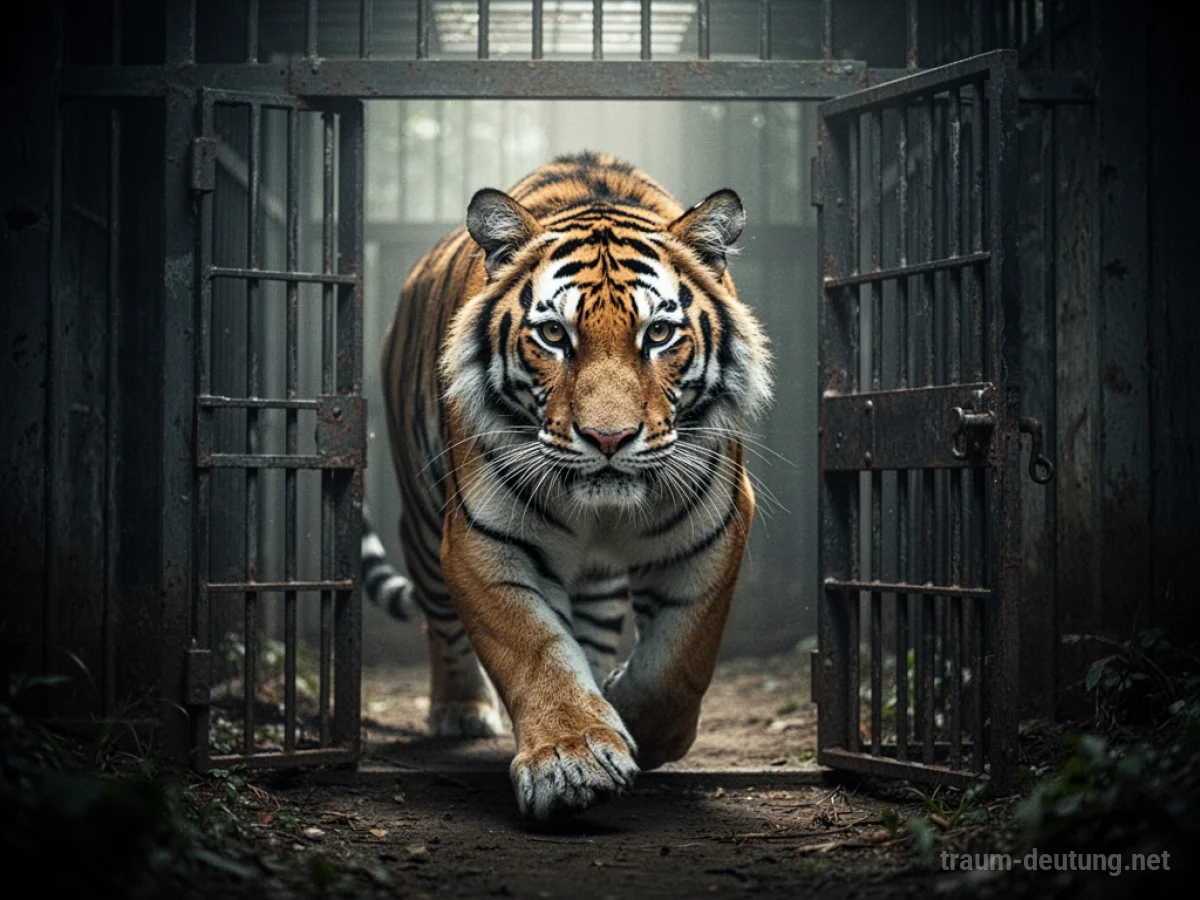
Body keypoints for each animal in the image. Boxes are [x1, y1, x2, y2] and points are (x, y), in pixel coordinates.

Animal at [372, 152, 773, 820]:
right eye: (554, 336)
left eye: (658, 335)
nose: (609, 438)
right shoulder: (484, 540)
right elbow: (535, 648)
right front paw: (572, 759)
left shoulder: (711, 533)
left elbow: (677, 664)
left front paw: (625, 716)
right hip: (424, 520)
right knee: (442, 624)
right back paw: (460, 711)